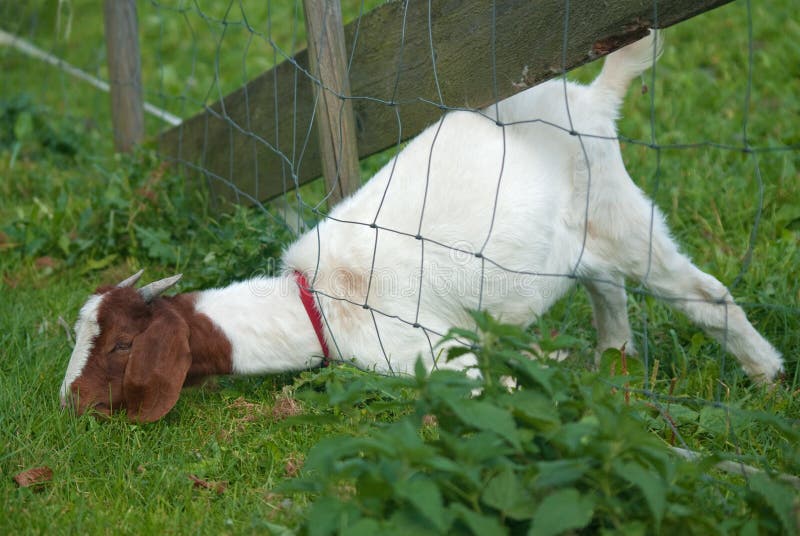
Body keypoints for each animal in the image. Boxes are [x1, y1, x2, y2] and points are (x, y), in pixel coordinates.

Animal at [60, 32, 783, 422]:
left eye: (121, 346)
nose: (69, 401)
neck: (320, 299)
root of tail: (593, 99)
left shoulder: (439, 354)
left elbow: (505, 387)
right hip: (577, 242)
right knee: (606, 285)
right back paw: (616, 356)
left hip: (622, 211)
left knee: (705, 297)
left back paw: (768, 377)